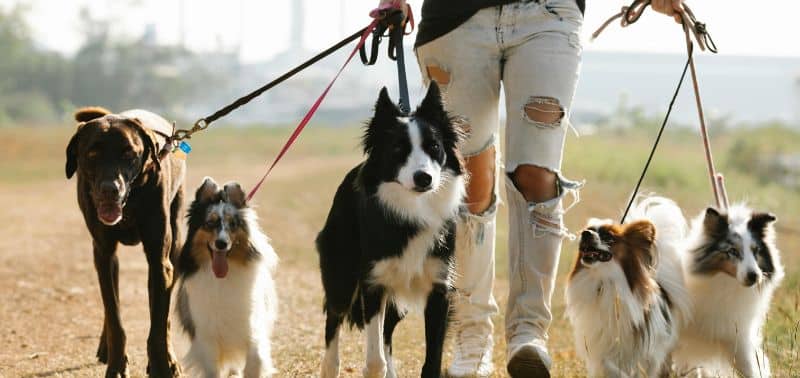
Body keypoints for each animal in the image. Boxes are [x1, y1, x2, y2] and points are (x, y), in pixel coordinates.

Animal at [66, 108, 186, 376]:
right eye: (92, 154)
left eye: (129, 154)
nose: (110, 189)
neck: (130, 203)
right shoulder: (103, 253)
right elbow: (114, 316)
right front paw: (117, 366)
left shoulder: (159, 260)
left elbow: (158, 324)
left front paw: (162, 366)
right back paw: (106, 346)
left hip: (174, 246)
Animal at [175, 178, 278, 378]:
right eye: (209, 223)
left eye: (233, 224)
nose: (221, 244)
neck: (222, 279)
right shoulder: (206, 338)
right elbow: (213, 370)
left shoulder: (252, 329)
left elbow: (255, 361)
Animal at [312, 82, 462, 378]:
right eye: (397, 149)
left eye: (434, 147)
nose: (424, 178)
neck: (412, 209)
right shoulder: (373, 282)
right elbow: (373, 359)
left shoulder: (439, 287)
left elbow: (431, 360)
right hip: (342, 272)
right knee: (334, 318)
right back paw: (330, 366)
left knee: (388, 331)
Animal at [564, 196, 692, 376]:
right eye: (588, 230)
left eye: (609, 237)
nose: (585, 234)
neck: (604, 281)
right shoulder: (601, 344)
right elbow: (608, 364)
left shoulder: (647, 351)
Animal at [672, 205, 784, 376]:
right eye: (732, 251)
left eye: (756, 250)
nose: (754, 276)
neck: (725, 284)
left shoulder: (738, 338)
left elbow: (751, 369)